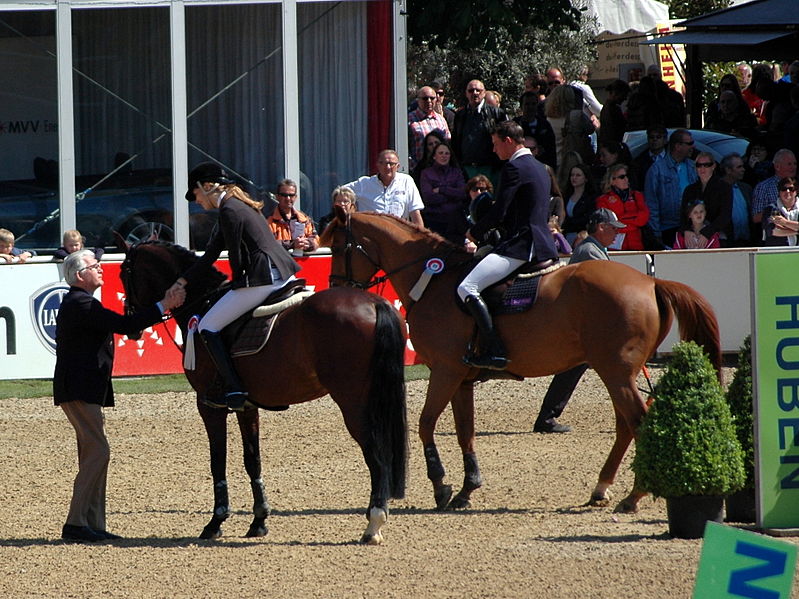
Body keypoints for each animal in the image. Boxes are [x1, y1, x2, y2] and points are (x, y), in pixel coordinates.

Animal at [122, 239, 410, 544]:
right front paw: (259, 520)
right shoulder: (247, 406)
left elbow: (217, 461)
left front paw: (215, 522)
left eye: (125, 275)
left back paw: (374, 524)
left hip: (353, 402)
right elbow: (253, 460)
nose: (132, 329)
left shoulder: (209, 405)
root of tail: (374, 302)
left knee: (376, 453)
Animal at [320, 211, 724, 516]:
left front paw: (440, 486)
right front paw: (467, 489)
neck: (433, 280)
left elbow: (425, 424)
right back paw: (601, 488)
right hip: (614, 371)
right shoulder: (461, 377)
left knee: (638, 422)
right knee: (626, 425)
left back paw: (632, 496)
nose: (336, 287)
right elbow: (465, 431)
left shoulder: (445, 371)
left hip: (616, 371)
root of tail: (650, 283)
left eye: (338, 247)